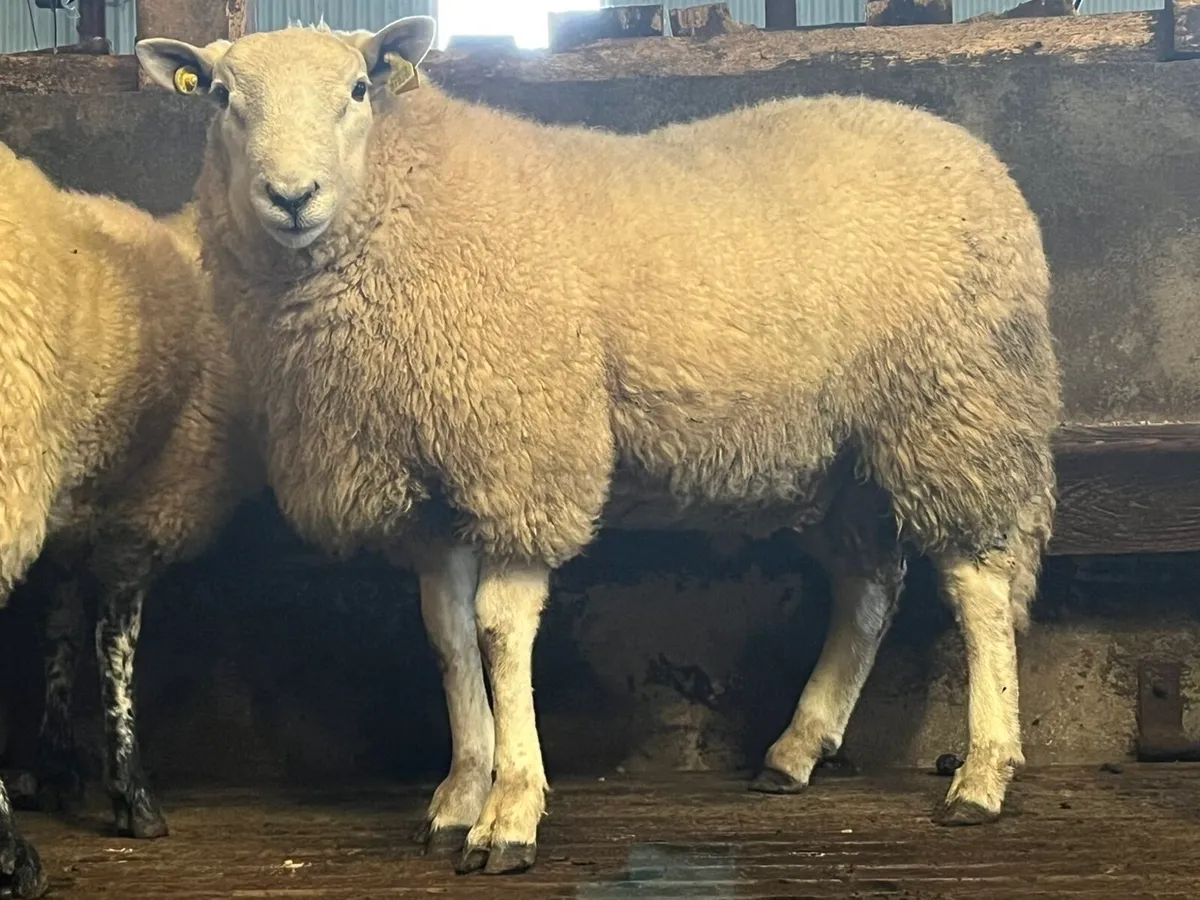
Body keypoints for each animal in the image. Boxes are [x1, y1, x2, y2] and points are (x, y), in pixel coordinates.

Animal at [0, 141, 261, 858]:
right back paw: (11, 851)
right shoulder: (142, 522)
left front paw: (56, 769)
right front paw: (131, 793)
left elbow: (59, 633)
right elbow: (114, 646)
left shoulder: (70, 513)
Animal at [135, 16, 1061, 876]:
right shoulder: (430, 481)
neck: (406, 206)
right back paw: (797, 748)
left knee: (979, 585)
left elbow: (499, 630)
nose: (292, 196)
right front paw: (457, 795)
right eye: (219, 97)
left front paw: (510, 810)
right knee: (869, 585)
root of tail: (975, 153)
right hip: (848, 450)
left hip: (955, 403)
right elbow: (445, 634)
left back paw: (981, 776)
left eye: (359, 90)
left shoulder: (522, 448)